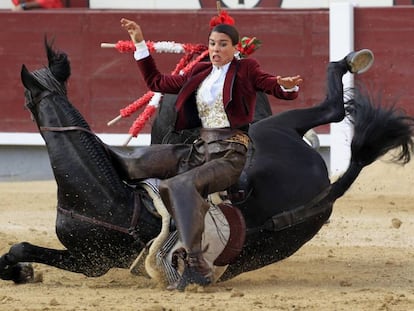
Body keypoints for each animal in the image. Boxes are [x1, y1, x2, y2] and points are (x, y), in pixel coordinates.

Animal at [0, 40, 414, 288]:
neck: (105, 192)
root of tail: (326, 181)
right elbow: (20, 247)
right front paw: (18, 271)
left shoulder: (92, 260)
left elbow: (22, 246)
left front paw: (17, 270)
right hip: (278, 126)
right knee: (328, 111)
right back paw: (350, 61)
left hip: (274, 145)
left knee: (332, 111)